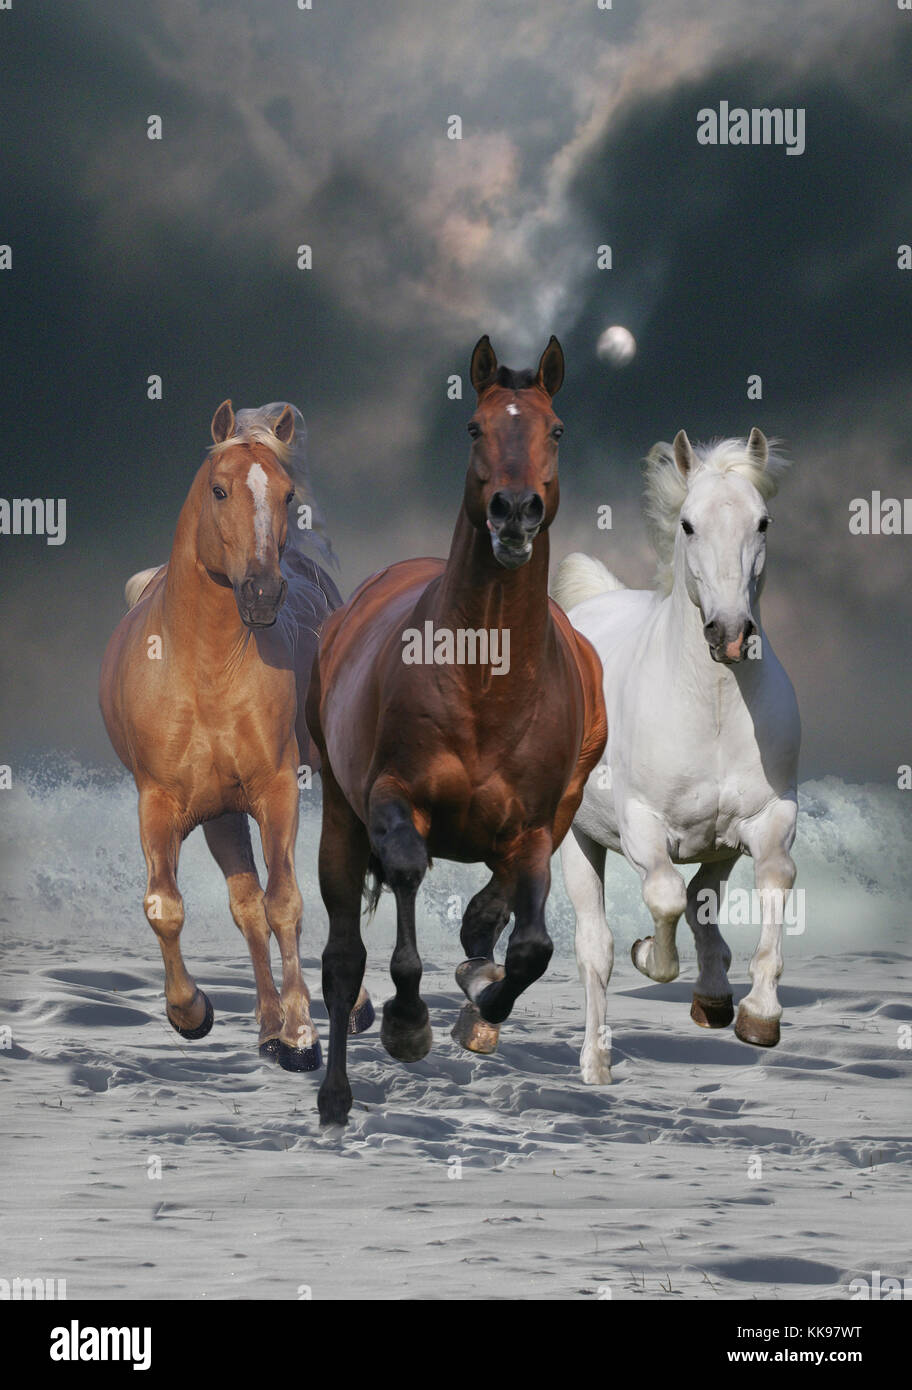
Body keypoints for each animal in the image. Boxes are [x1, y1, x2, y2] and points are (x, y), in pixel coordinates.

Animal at [98, 397, 372, 1067]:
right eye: (219, 490)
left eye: (287, 493)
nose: (262, 592)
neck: (205, 668)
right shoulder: (160, 802)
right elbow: (166, 905)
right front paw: (192, 1013)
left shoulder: (277, 790)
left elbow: (286, 902)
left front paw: (302, 1035)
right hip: (221, 815)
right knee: (244, 907)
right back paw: (266, 1026)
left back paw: (345, 1010)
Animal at [310, 339, 608, 1128]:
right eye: (476, 428)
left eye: (557, 430)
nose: (514, 511)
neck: (486, 683)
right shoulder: (392, 798)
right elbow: (407, 876)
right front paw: (408, 1023)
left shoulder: (534, 826)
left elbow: (531, 946)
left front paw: (480, 1006)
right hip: (340, 815)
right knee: (343, 957)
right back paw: (335, 1096)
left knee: (493, 916)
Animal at [547, 425, 800, 1084]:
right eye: (687, 524)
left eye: (763, 522)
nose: (730, 633)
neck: (712, 707)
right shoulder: (641, 825)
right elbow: (661, 898)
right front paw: (649, 958)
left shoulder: (768, 817)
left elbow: (774, 878)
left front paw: (759, 1013)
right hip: (578, 841)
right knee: (596, 947)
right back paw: (596, 1063)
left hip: (718, 842)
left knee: (703, 897)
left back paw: (713, 995)